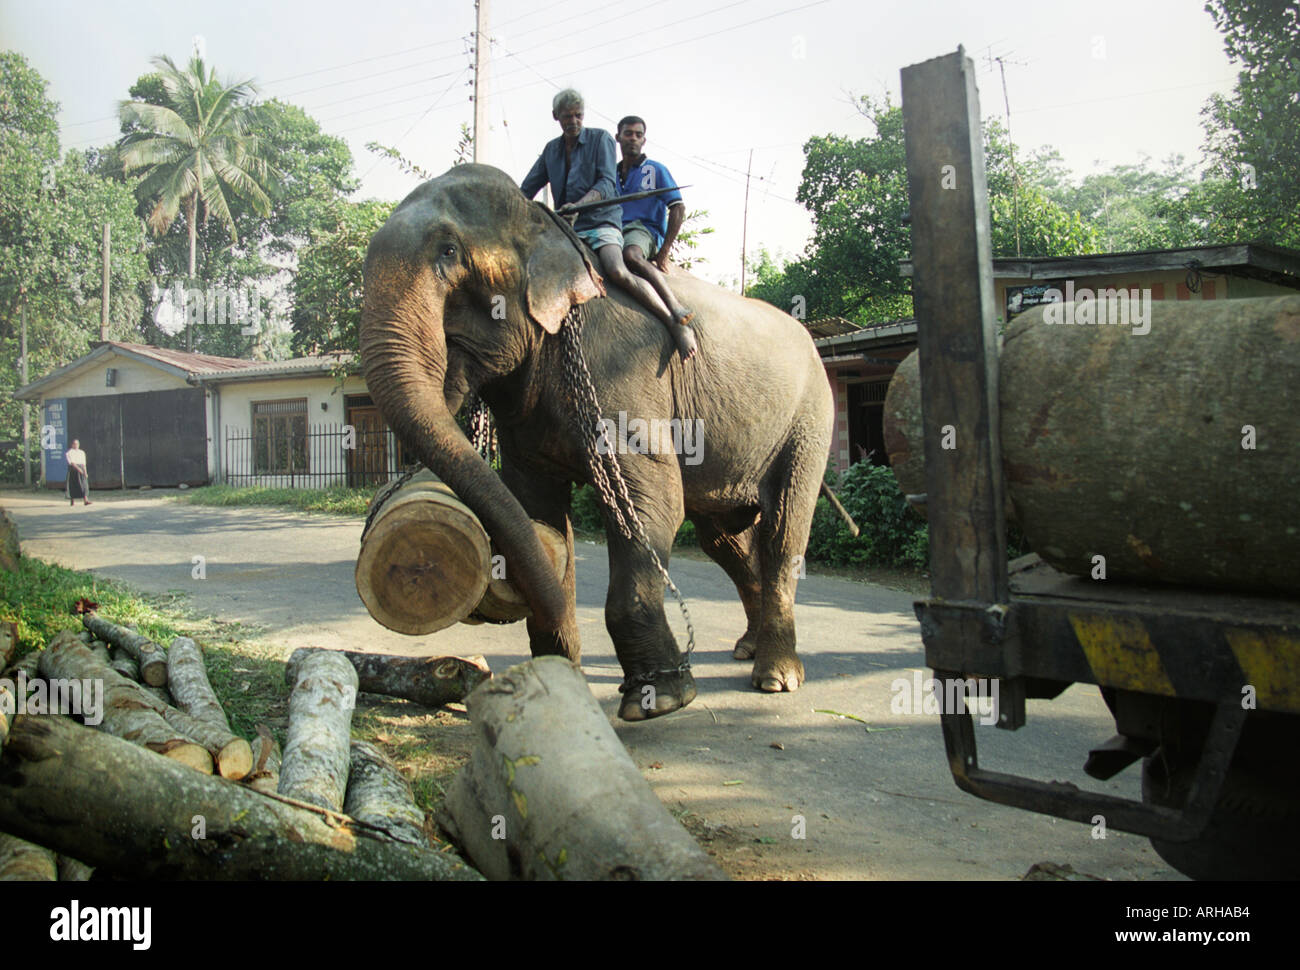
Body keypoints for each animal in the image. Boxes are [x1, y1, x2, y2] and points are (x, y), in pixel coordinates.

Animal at [361, 163, 833, 721]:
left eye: (449, 253)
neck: (547, 224)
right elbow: (536, 508)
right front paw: (560, 687)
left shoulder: (625, 374)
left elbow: (651, 506)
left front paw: (658, 701)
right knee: (724, 540)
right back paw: (749, 649)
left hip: (810, 419)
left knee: (782, 531)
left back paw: (776, 678)